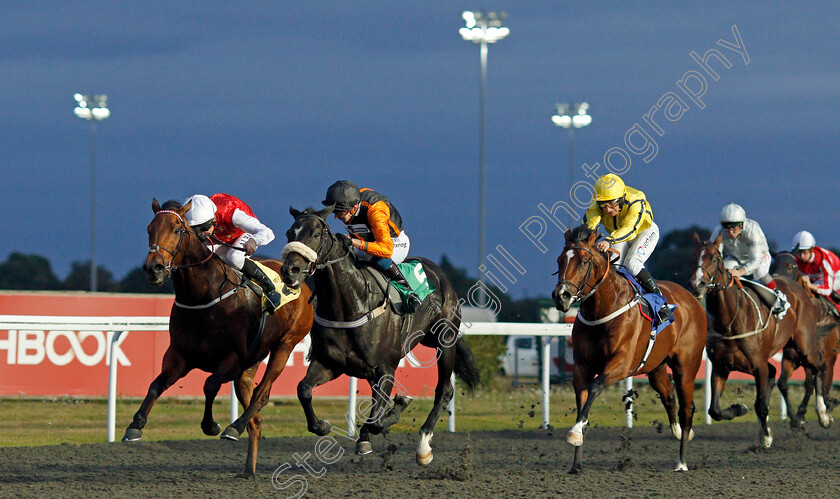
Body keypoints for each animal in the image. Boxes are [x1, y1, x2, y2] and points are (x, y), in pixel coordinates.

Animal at [126, 198, 316, 476]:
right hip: (250, 367)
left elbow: (210, 385)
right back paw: (248, 469)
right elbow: (155, 386)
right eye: (149, 228)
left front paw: (211, 425)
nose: (154, 268)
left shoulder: (233, 360)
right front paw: (135, 425)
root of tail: (301, 282)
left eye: (176, 229)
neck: (203, 297)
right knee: (255, 419)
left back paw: (233, 428)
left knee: (262, 395)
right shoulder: (178, 358)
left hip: (285, 345)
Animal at [280, 205, 480, 466]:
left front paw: (388, 416)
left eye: (315, 234)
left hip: (445, 340)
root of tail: (440, 275)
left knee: (444, 391)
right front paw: (322, 425)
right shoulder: (330, 363)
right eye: (289, 233)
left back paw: (423, 446)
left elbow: (376, 420)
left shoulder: (385, 368)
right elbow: (303, 389)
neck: (350, 304)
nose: (289, 271)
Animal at [552, 229, 708, 474]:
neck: (603, 309)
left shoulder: (622, 363)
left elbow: (596, 386)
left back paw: (682, 461)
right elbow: (582, 405)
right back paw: (678, 432)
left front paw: (575, 433)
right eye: (560, 260)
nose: (562, 295)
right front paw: (576, 461)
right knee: (669, 397)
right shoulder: (581, 367)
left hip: (686, 367)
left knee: (685, 409)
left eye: (584, 261)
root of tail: (693, 300)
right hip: (656, 367)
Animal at [692, 234, 824, 450]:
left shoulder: (758, 365)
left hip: (803, 344)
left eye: (714, 258)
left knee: (818, 365)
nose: (698, 284)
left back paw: (822, 414)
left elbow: (761, 404)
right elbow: (715, 410)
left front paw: (766, 437)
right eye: (693, 257)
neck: (731, 320)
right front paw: (740, 409)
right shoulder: (721, 366)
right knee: (777, 373)